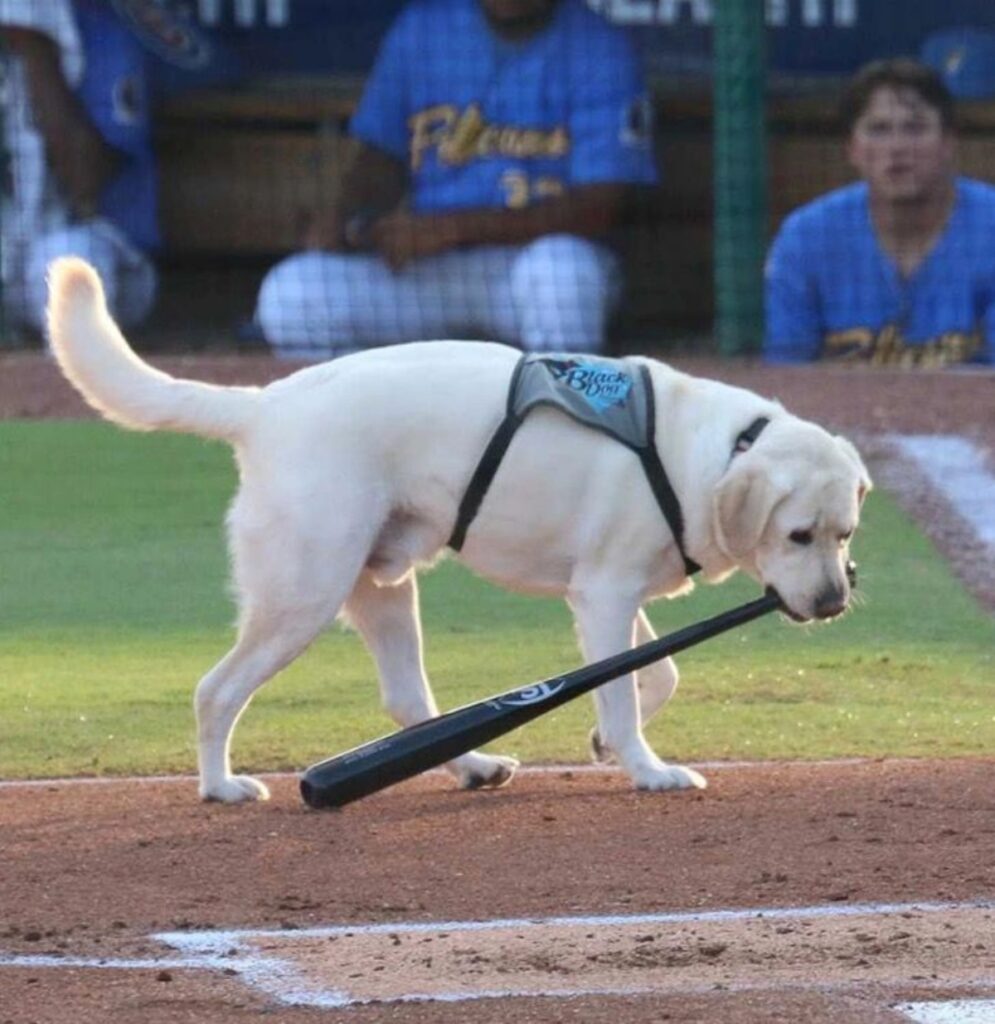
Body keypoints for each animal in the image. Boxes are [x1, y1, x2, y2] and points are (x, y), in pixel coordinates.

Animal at [46, 256, 872, 798]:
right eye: (798, 535)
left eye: (845, 534)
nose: (835, 603)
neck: (719, 447)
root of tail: (265, 404)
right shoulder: (603, 594)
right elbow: (621, 689)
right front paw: (646, 769)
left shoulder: (605, 596)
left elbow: (654, 676)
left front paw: (608, 740)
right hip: (302, 594)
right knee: (215, 691)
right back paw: (220, 786)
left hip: (380, 587)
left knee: (407, 703)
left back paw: (472, 766)